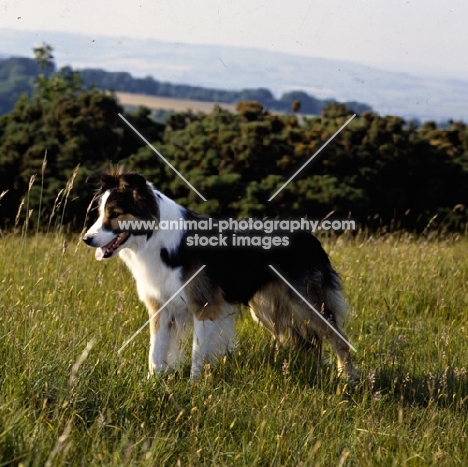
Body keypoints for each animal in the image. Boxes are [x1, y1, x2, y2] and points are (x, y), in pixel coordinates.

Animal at [82, 167, 356, 380]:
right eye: (99, 213)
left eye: (115, 214)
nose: (86, 239)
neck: (157, 238)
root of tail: (312, 238)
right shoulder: (161, 305)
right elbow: (156, 351)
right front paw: (152, 383)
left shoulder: (205, 305)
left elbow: (197, 352)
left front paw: (194, 386)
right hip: (268, 309)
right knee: (309, 341)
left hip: (306, 302)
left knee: (339, 338)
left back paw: (348, 378)